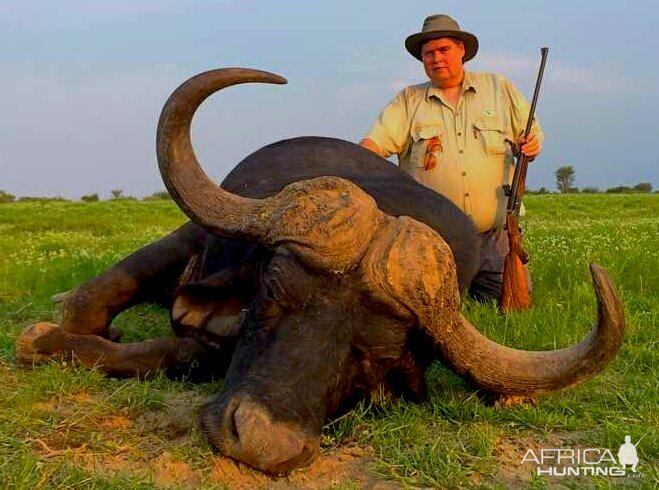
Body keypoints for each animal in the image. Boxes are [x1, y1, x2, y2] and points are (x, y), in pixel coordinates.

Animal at [15, 69, 624, 474]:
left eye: (373, 356)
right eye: (272, 297)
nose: (262, 444)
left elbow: (178, 353)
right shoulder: (193, 237)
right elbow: (102, 294)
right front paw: (44, 334)